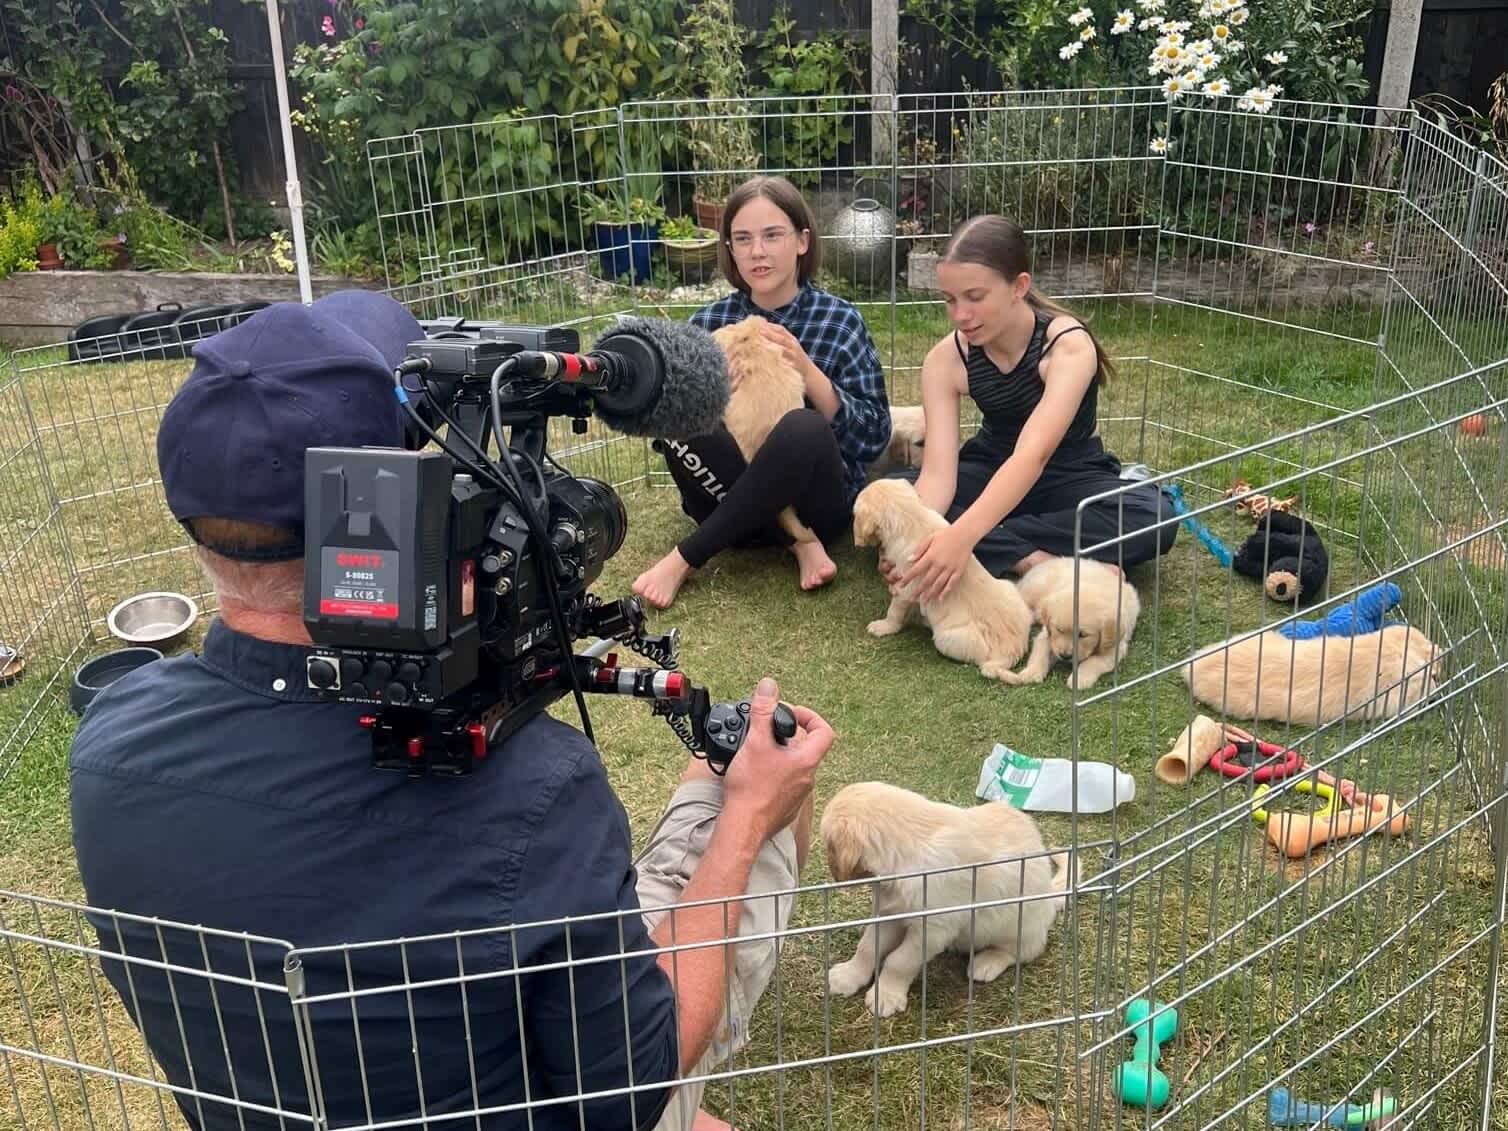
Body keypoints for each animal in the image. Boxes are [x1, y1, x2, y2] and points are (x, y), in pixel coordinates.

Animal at [826, 784, 1073, 1025]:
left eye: (829, 847)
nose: (834, 876)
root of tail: (1050, 897)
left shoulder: (932, 930)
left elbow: (899, 960)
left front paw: (886, 995)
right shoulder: (890, 913)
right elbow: (867, 947)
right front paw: (848, 976)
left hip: (1021, 927)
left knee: (1021, 951)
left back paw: (988, 962)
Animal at [850, 479, 1037, 681]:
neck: (910, 516)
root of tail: (1012, 649)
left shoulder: (904, 589)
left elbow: (894, 612)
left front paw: (883, 626)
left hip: (946, 638)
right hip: (1009, 587)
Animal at [1001, 557, 1140, 690]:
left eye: (1082, 635)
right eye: (1059, 629)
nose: (1065, 656)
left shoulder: (1114, 647)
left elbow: (1093, 661)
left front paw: (1080, 679)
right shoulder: (1047, 634)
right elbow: (1040, 653)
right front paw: (1031, 672)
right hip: (1033, 590)